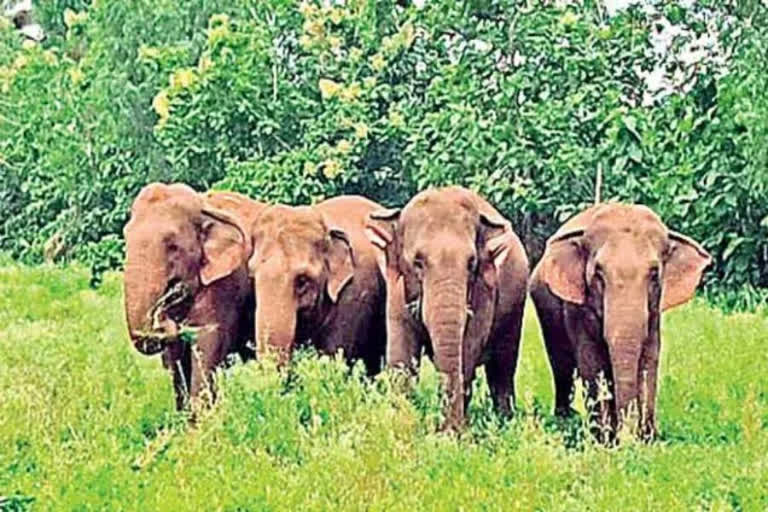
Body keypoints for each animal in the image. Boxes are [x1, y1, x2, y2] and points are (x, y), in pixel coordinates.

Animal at [124, 182, 268, 410]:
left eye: (173, 245)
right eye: (125, 239)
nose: (161, 316)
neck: (204, 207)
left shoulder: (224, 285)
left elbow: (207, 344)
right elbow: (176, 361)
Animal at [364, 186, 528, 430]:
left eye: (471, 263)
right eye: (418, 262)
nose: (449, 430)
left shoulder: (485, 289)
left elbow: (468, 347)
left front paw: (451, 434)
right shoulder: (397, 289)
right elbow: (402, 353)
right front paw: (401, 423)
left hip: (515, 311)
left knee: (502, 369)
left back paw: (504, 422)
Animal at [528, 203, 712, 440]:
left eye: (655, 274)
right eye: (598, 273)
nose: (628, 435)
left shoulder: (654, 313)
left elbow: (649, 358)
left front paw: (646, 438)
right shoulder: (578, 309)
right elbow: (591, 361)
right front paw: (605, 439)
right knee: (561, 364)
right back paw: (565, 419)